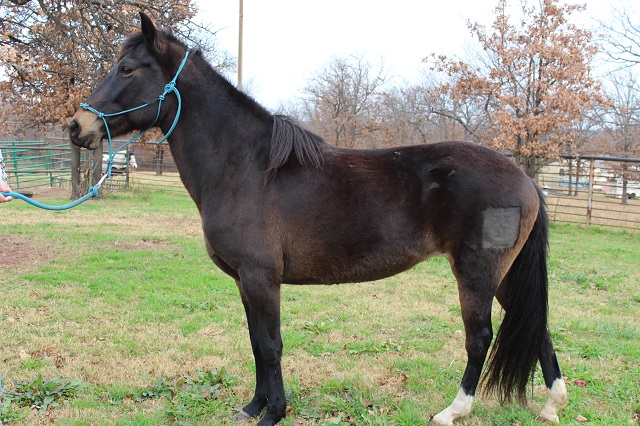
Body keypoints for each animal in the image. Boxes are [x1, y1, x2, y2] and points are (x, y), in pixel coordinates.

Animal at [70, 13, 568, 426]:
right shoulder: (245, 281)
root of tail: (525, 179)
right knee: (536, 328)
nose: (78, 127)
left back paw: (453, 411)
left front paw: (274, 413)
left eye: (127, 69)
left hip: (478, 274)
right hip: (506, 276)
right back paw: (551, 406)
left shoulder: (261, 278)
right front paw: (254, 406)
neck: (245, 166)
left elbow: (271, 345)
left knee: (479, 336)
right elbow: (255, 342)